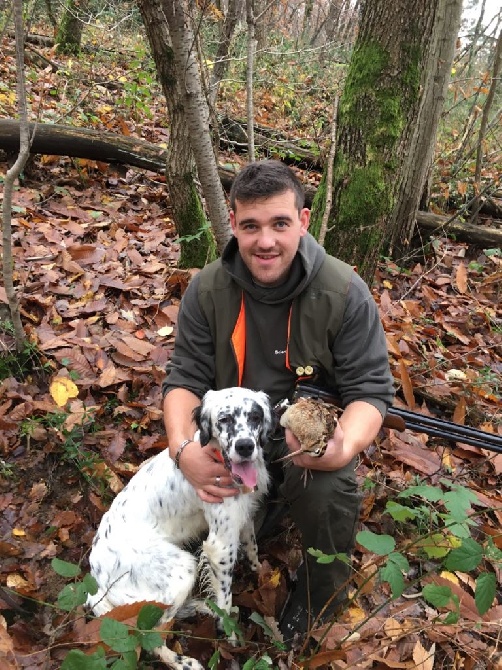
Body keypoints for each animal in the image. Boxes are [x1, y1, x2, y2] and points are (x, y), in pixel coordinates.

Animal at [87, 388, 274, 670]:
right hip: (181, 570)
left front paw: (260, 574)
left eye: (255, 416)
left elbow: (252, 549)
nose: (245, 446)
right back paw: (184, 661)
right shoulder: (220, 546)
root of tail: (97, 574)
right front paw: (230, 638)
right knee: (150, 635)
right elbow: (226, 596)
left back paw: (203, 608)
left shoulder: (243, 519)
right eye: (224, 419)